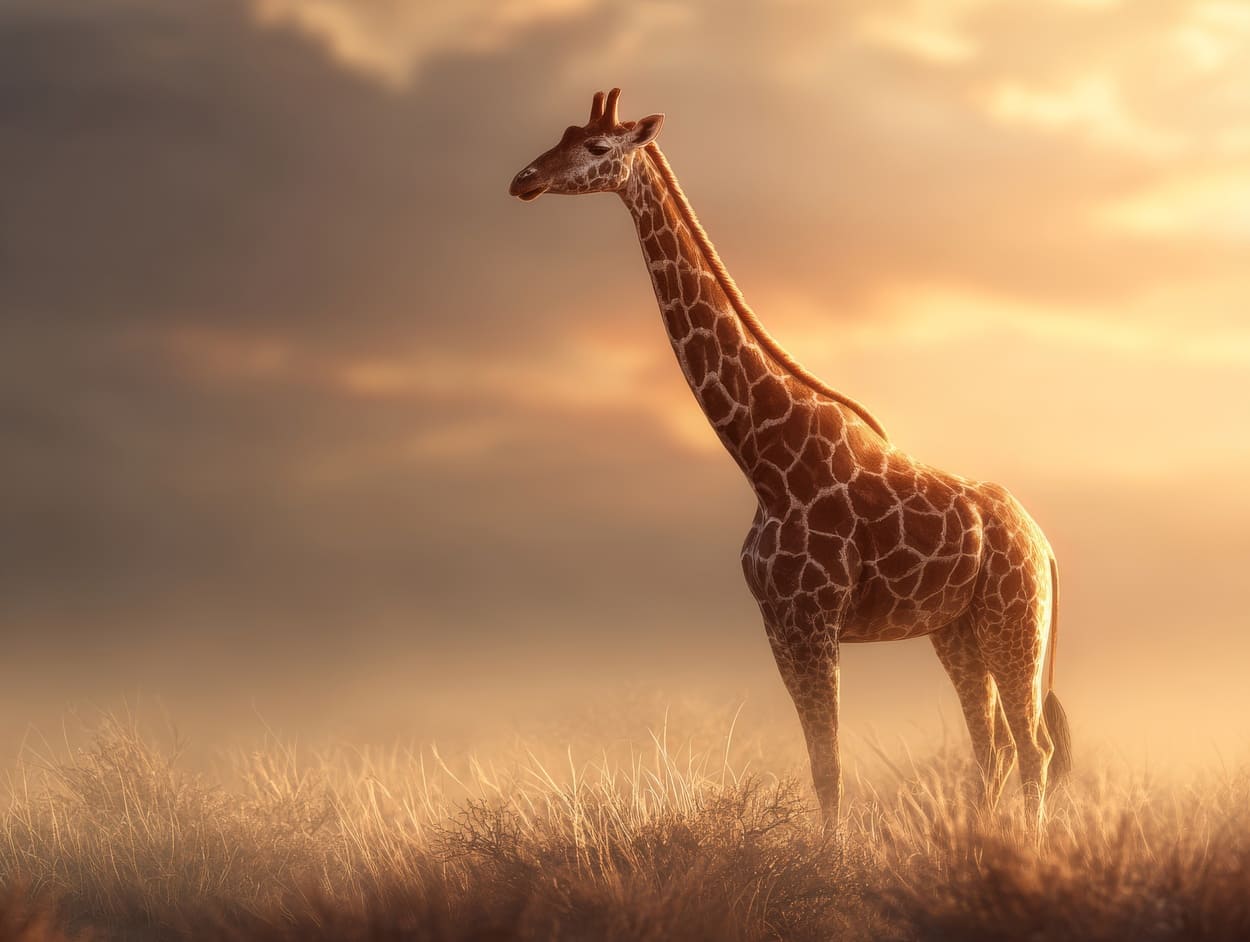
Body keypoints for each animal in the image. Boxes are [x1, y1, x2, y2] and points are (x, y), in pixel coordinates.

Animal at [509, 88, 1072, 827]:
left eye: (599, 148)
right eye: (563, 135)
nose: (523, 180)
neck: (766, 460)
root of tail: (1045, 545)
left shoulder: (813, 618)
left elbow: (831, 767)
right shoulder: (778, 623)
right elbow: (819, 767)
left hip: (1015, 616)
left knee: (1033, 746)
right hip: (957, 629)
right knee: (996, 746)